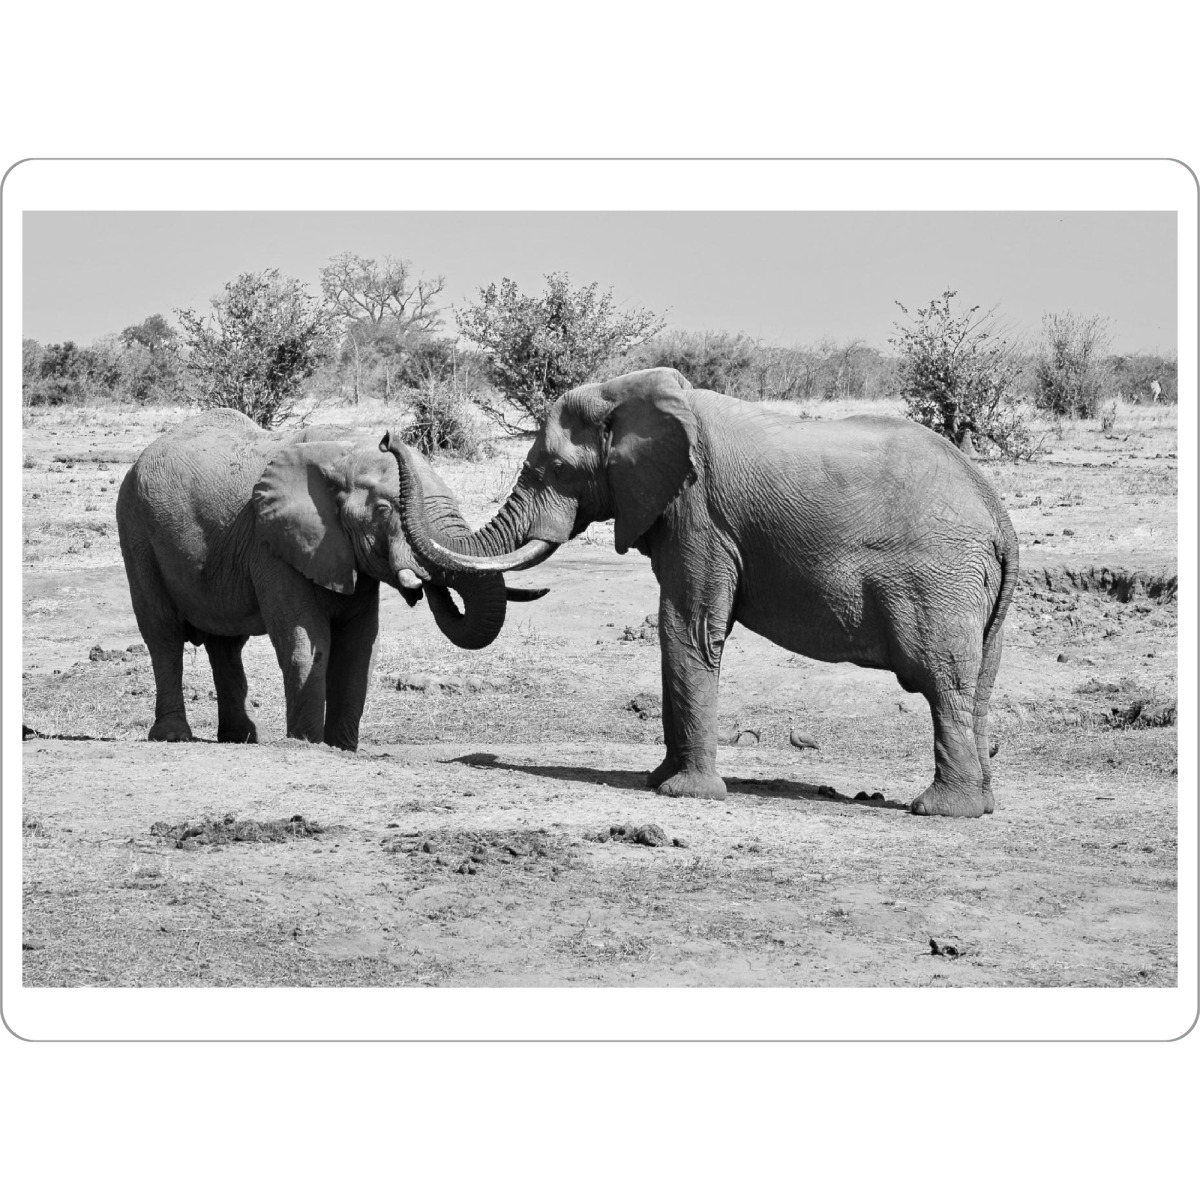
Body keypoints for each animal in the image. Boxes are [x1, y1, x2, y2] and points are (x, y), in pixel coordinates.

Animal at [116, 408, 543, 751]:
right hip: (136, 530)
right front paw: (306, 743)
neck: (342, 452)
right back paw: (174, 736)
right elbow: (308, 640)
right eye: (385, 510)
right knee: (163, 633)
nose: (389, 439)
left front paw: (342, 748)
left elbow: (359, 646)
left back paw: (241, 738)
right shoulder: (272, 544)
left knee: (226, 643)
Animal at [384, 367, 1019, 818]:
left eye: (558, 469)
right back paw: (983, 803)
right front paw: (657, 782)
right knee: (977, 684)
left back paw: (943, 810)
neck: (635, 396)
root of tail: (998, 514)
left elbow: (685, 628)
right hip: (971, 588)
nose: (389, 438)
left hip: (939, 579)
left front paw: (684, 795)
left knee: (940, 680)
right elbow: (678, 634)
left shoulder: (700, 512)